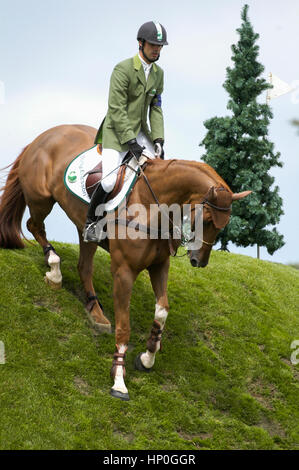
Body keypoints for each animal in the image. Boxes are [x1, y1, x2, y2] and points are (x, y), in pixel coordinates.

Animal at [0, 125, 251, 400]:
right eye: (206, 219)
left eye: (222, 225)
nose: (199, 261)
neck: (153, 206)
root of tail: (45, 135)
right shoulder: (124, 271)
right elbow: (124, 327)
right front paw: (119, 380)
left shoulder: (159, 266)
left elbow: (162, 310)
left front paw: (148, 356)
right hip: (40, 199)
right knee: (34, 226)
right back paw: (54, 271)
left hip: (80, 226)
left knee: (83, 266)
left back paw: (96, 313)